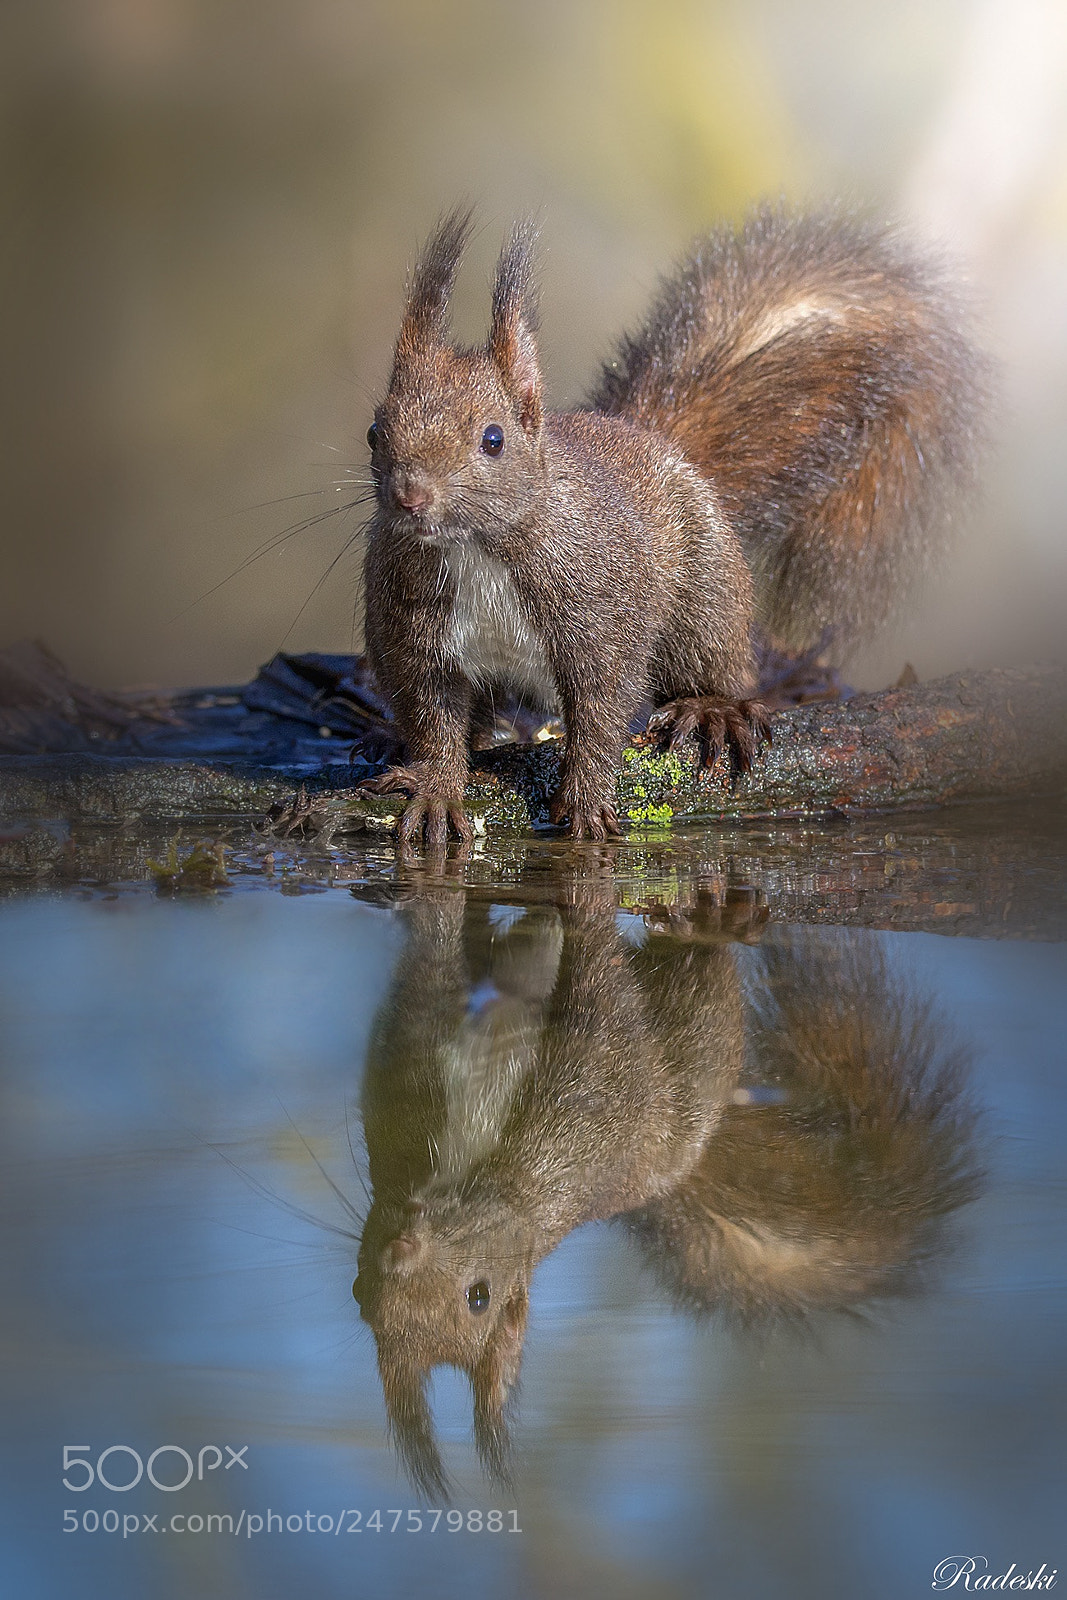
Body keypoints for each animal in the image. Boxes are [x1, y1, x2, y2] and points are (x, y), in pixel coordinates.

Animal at [360, 204, 985, 843]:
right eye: (375, 432)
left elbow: (602, 708)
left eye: (493, 439)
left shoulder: (601, 613)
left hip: (705, 594)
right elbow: (432, 714)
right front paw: (437, 787)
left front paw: (585, 797)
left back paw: (712, 709)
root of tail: (659, 444)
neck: (478, 550)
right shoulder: (414, 631)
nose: (410, 497)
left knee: (714, 660)